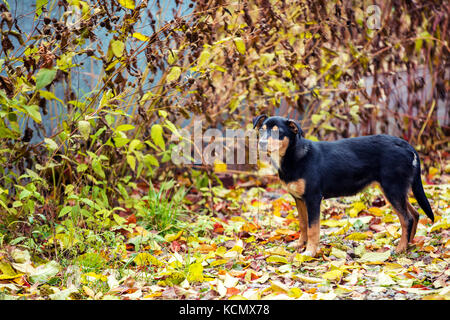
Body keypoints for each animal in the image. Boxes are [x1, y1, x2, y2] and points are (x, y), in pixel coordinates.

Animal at [253, 115, 432, 258]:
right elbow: (303, 224)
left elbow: (313, 228)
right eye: (261, 130)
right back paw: (409, 244)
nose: (261, 144)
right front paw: (299, 244)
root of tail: (406, 145)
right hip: (396, 189)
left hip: (392, 188)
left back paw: (401, 248)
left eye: (278, 132)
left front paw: (309, 251)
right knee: (415, 214)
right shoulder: (299, 199)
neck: (294, 155)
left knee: (407, 219)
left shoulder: (313, 198)